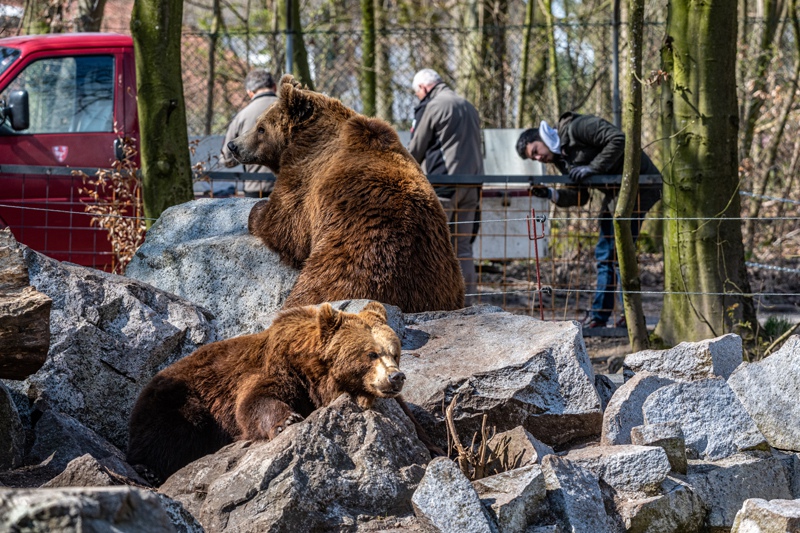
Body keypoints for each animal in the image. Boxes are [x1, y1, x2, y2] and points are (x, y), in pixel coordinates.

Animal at [129, 300, 412, 482]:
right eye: (372, 353)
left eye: (394, 353)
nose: (396, 376)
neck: (314, 374)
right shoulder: (275, 369)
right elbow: (256, 400)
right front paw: (287, 420)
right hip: (178, 399)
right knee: (167, 432)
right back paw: (148, 469)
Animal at [225, 72, 462, 310]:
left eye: (260, 127)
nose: (233, 145)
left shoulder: (304, 176)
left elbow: (285, 225)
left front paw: (256, 211)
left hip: (348, 260)